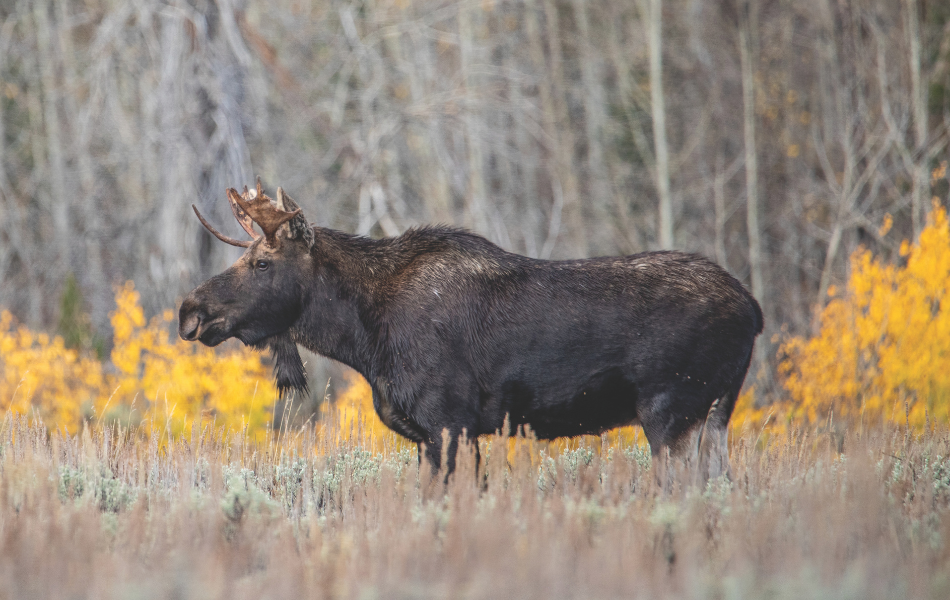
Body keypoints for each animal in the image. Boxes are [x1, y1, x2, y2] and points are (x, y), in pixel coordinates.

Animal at [180, 179, 768, 482]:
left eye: (261, 263)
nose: (190, 311)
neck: (364, 341)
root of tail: (754, 310)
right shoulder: (436, 433)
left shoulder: (449, 423)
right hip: (714, 415)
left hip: (672, 411)